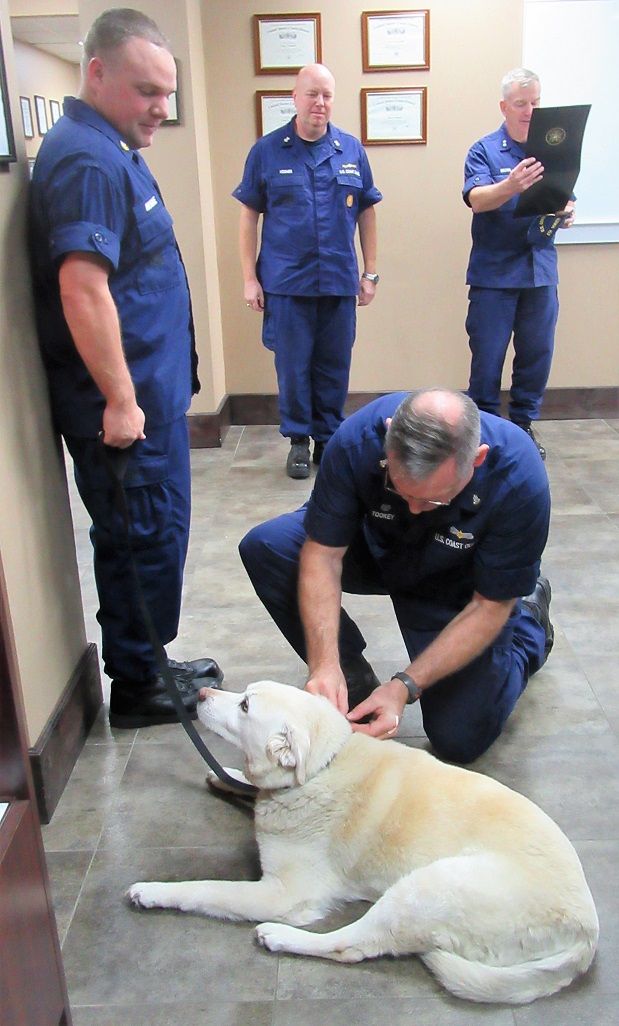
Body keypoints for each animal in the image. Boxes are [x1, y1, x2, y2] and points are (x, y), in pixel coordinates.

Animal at [127, 677, 599, 1005]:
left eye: (244, 704)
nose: (202, 692)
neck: (321, 767)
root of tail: (586, 935)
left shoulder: (283, 893)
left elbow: (204, 889)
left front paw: (153, 891)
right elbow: (252, 788)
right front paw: (229, 776)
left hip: (424, 890)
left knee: (348, 945)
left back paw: (281, 937)